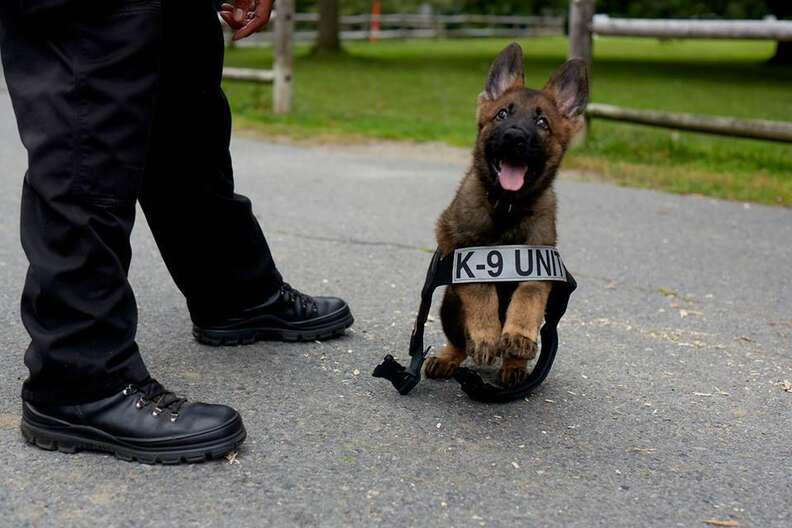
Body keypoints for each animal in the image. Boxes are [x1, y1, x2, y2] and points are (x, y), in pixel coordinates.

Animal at [426, 43, 588, 386]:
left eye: (542, 123)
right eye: (502, 114)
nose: (514, 136)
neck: (507, 208)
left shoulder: (539, 262)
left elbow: (527, 297)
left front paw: (518, 336)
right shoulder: (464, 253)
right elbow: (482, 292)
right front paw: (487, 335)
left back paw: (514, 364)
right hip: (449, 303)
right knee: (460, 343)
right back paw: (449, 358)